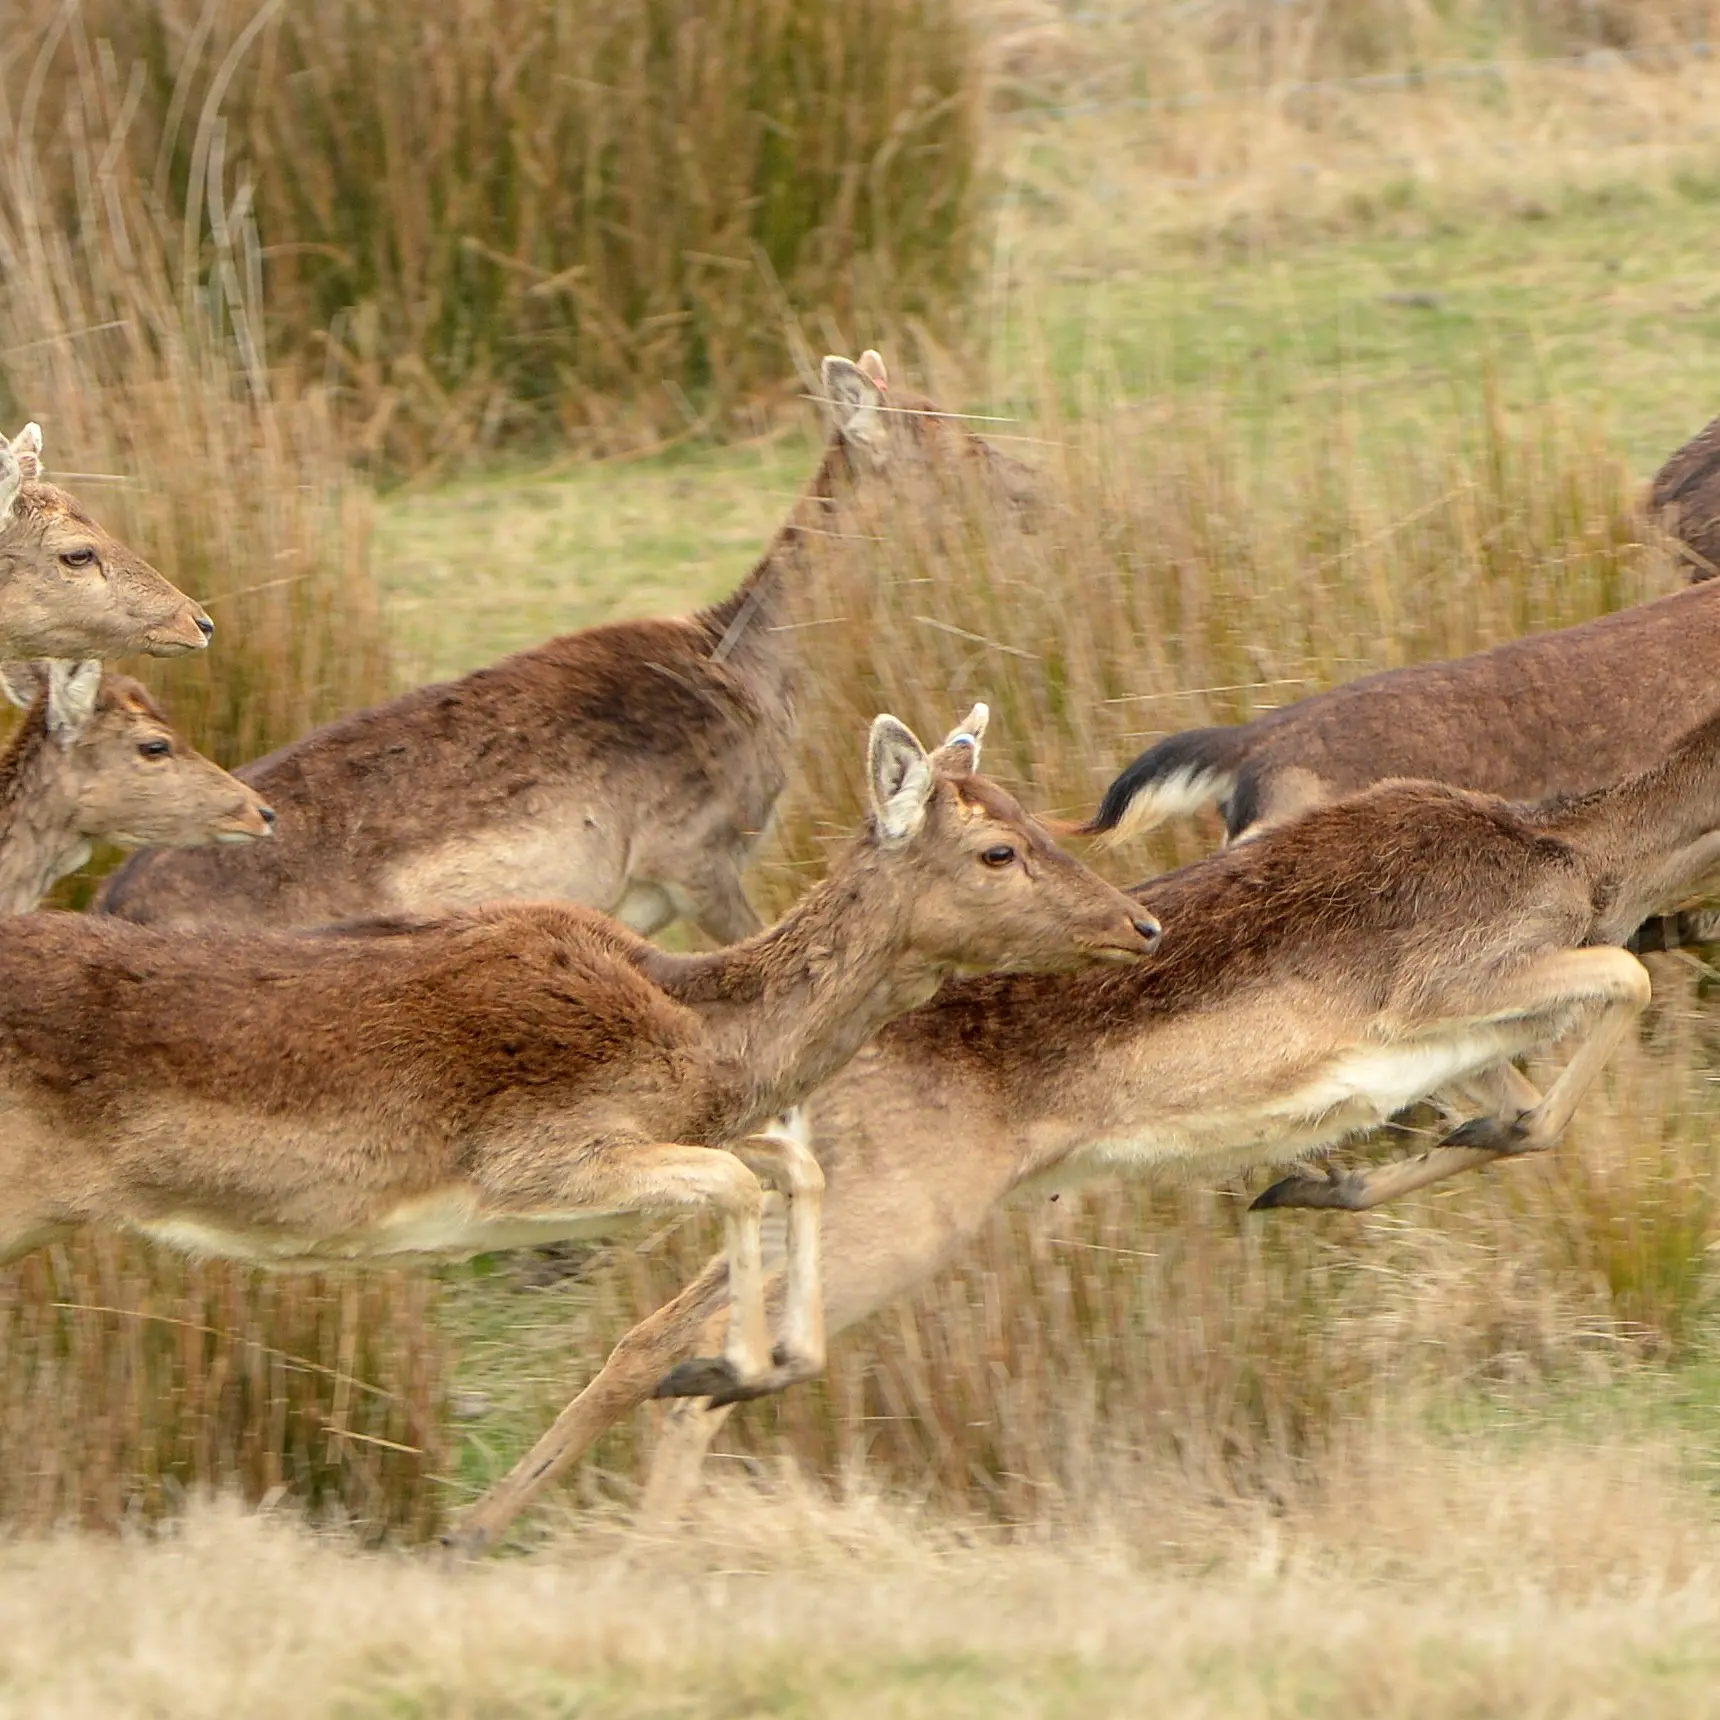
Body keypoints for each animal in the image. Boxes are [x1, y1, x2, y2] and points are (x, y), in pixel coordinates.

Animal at [0, 704, 1156, 1494]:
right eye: (996, 851)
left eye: (1040, 820)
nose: (1140, 925)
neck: (691, 1031)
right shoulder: (525, 1164)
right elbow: (734, 1181)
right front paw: (725, 1368)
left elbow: (791, 1162)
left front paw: (782, 1357)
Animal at [444, 694, 1720, 1553]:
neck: (1588, 860)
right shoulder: (1443, 987)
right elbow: (1618, 990)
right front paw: (1329, 1174)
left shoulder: (1451, 1055)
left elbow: (1510, 1110)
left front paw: (1317, 1180)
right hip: (908, 1215)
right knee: (687, 1344)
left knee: (654, 1334)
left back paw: (519, 1533)